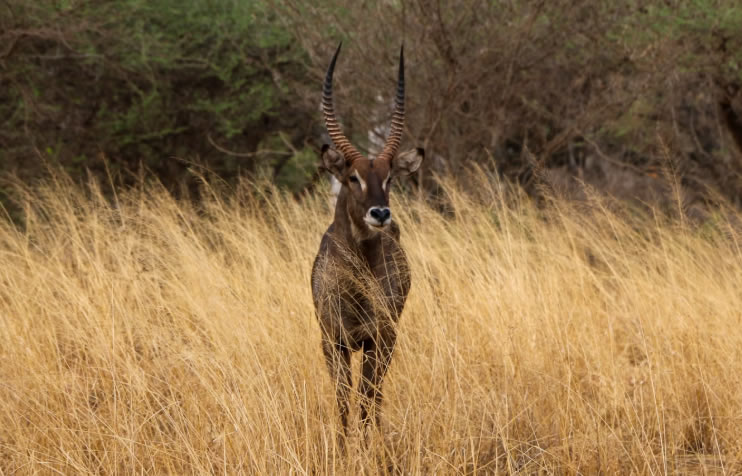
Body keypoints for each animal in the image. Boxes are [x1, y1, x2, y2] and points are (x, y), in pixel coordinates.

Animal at [310, 41, 424, 442]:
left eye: (389, 177)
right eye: (353, 177)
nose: (380, 213)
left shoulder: (380, 339)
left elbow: (366, 398)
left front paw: (369, 446)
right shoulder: (333, 340)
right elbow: (343, 400)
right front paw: (344, 448)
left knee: (373, 395)